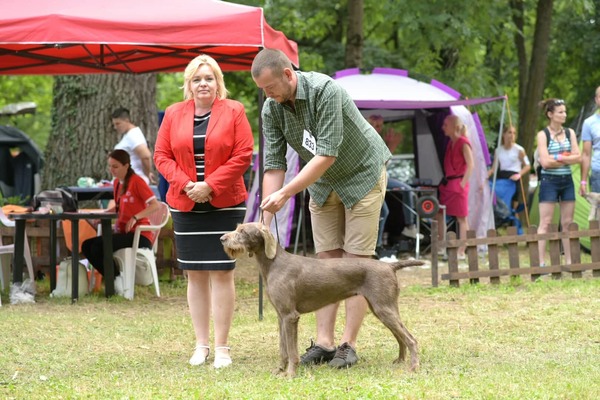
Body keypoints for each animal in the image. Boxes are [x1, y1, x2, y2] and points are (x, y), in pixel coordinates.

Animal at [220, 222, 422, 378]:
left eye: (242, 231)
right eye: (237, 228)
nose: (222, 238)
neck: (274, 264)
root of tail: (390, 266)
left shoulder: (290, 316)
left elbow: (291, 351)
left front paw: (290, 374)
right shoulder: (281, 316)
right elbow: (283, 349)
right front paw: (279, 371)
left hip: (383, 308)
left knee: (411, 339)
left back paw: (413, 367)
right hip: (382, 308)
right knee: (401, 336)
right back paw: (400, 360)